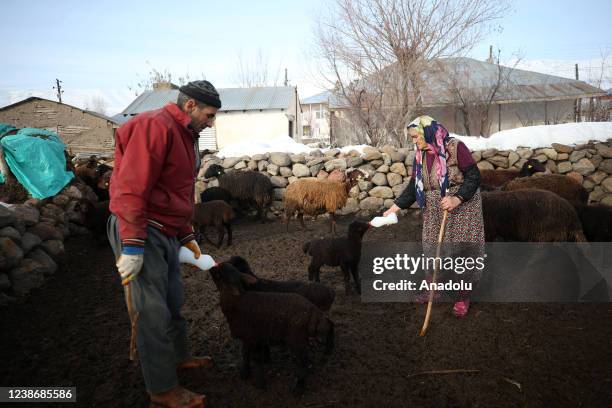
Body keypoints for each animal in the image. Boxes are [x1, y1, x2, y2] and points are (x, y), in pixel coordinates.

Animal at [209, 262, 334, 396]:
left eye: (219, 273)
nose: (211, 266)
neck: (236, 301)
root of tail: (311, 310)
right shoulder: (248, 336)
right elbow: (245, 353)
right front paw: (245, 372)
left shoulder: (254, 337)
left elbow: (256, 359)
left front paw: (260, 383)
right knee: (328, 326)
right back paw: (327, 350)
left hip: (296, 339)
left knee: (304, 361)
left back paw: (299, 387)